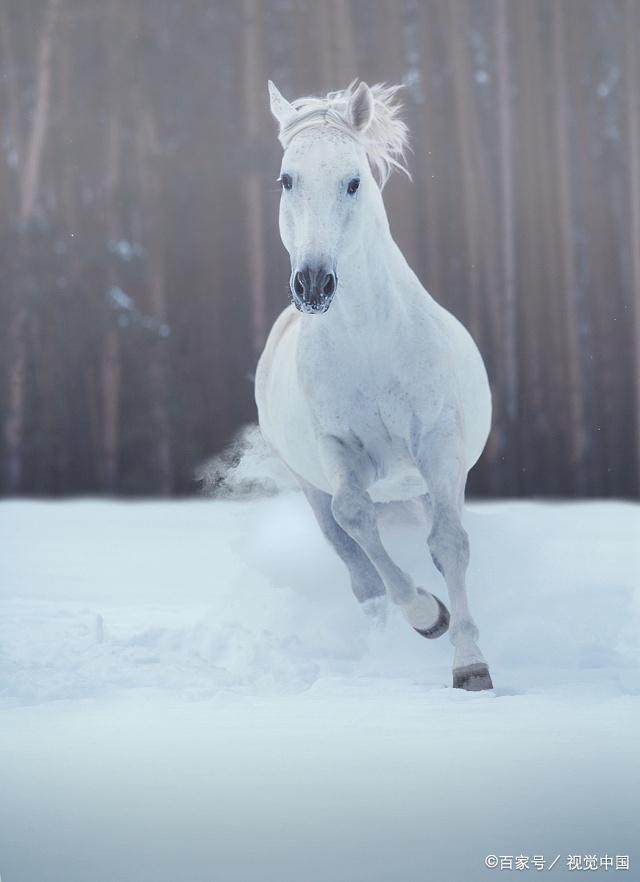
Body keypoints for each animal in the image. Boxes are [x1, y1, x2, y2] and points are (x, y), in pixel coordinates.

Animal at [255, 81, 496, 688]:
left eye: (353, 180)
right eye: (286, 180)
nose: (313, 284)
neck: (370, 343)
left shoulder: (437, 442)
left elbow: (448, 543)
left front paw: (471, 665)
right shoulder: (337, 450)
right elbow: (356, 518)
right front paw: (428, 617)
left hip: (426, 481)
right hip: (311, 484)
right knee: (358, 570)